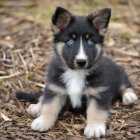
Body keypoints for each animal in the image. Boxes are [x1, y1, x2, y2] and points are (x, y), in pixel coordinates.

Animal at [15, 6, 138, 138]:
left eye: (90, 42)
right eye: (70, 41)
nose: (81, 61)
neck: (76, 73)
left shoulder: (99, 92)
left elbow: (96, 111)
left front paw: (94, 127)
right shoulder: (55, 88)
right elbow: (49, 106)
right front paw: (43, 121)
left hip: (119, 74)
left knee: (125, 85)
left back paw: (129, 96)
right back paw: (37, 107)